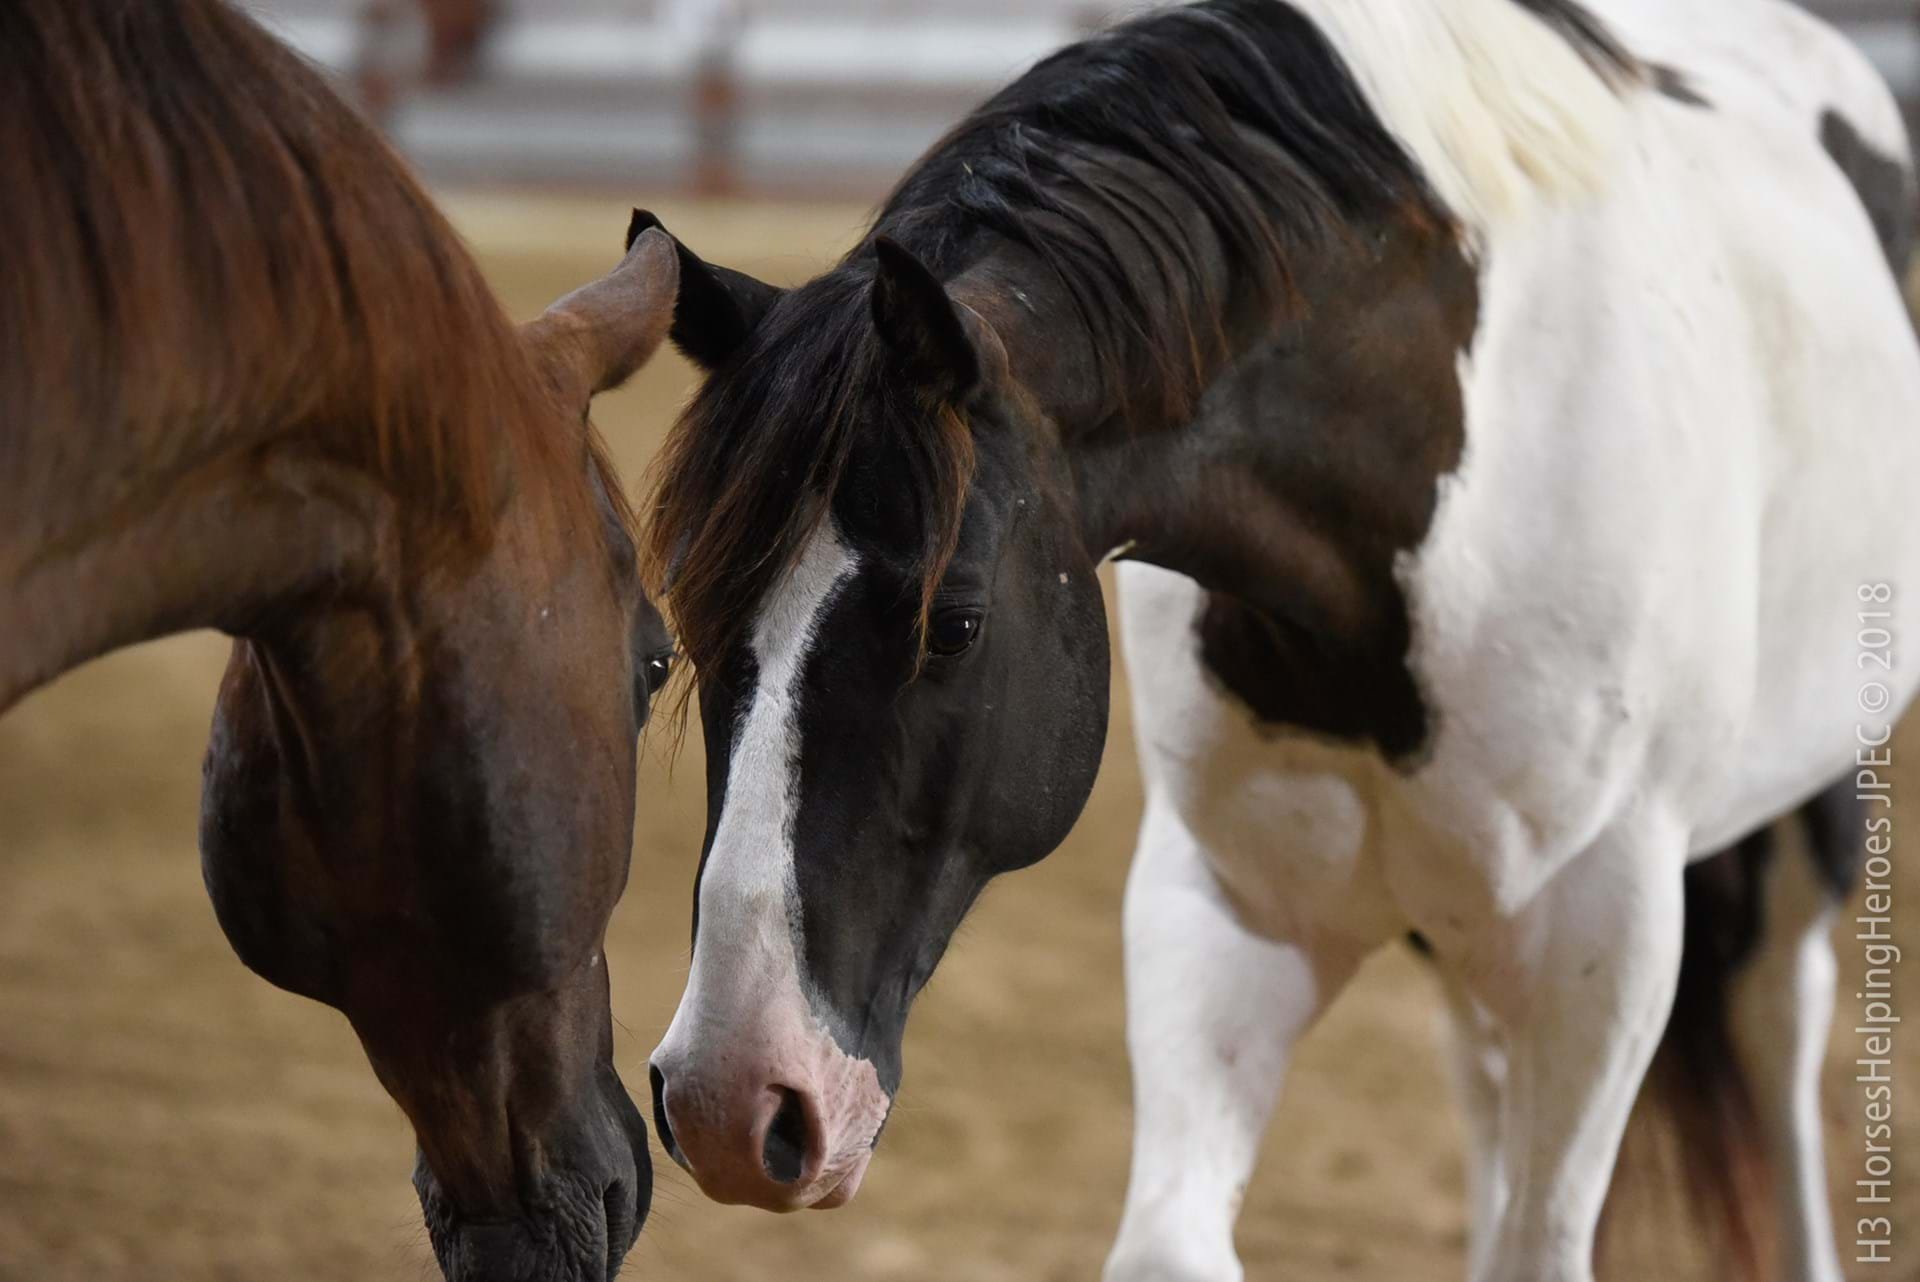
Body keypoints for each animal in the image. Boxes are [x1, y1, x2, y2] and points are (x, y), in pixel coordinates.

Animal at [637, 5, 1912, 1274]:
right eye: (692, 616)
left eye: (951, 624)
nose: (731, 1099)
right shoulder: (1229, 905)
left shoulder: (1603, 939)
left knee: (1779, 1016)